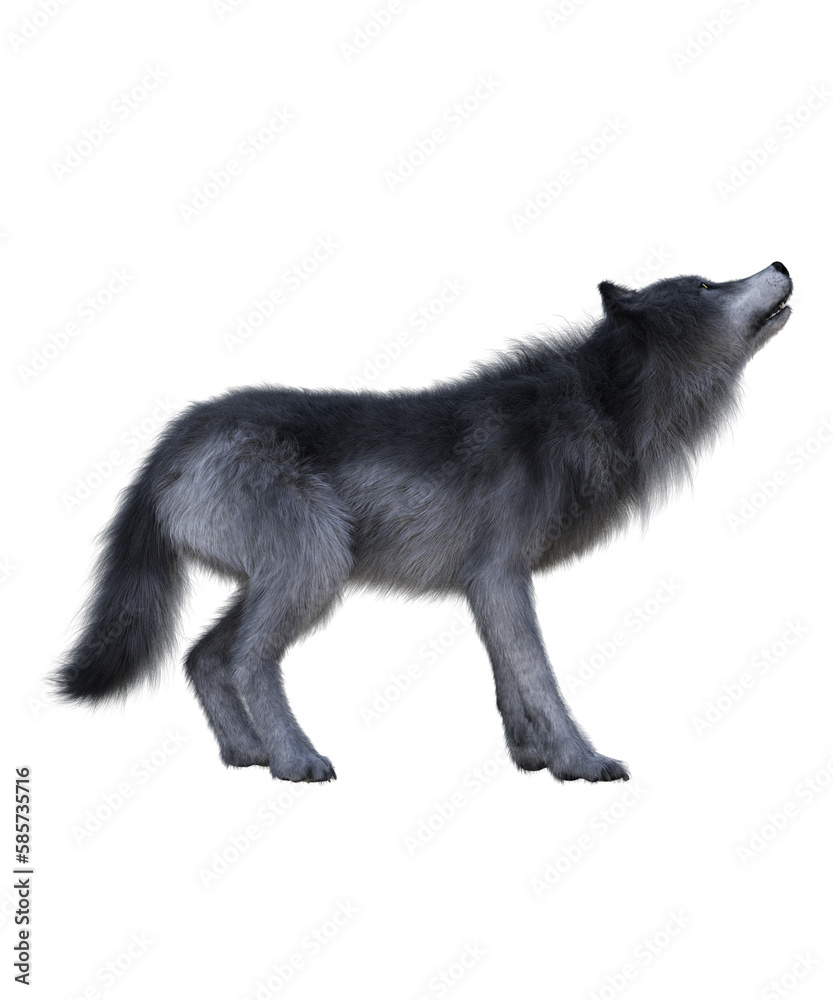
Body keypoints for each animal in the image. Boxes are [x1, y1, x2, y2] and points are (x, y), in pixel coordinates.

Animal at [53, 262, 793, 784]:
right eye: (706, 284)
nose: (782, 262)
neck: (601, 404)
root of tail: (173, 438)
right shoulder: (500, 575)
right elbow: (540, 678)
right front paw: (581, 763)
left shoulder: (487, 585)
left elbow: (510, 683)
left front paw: (533, 758)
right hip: (316, 570)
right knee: (244, 661)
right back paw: (294, 761)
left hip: (284, 578)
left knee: (202, 656)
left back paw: (246, 753)